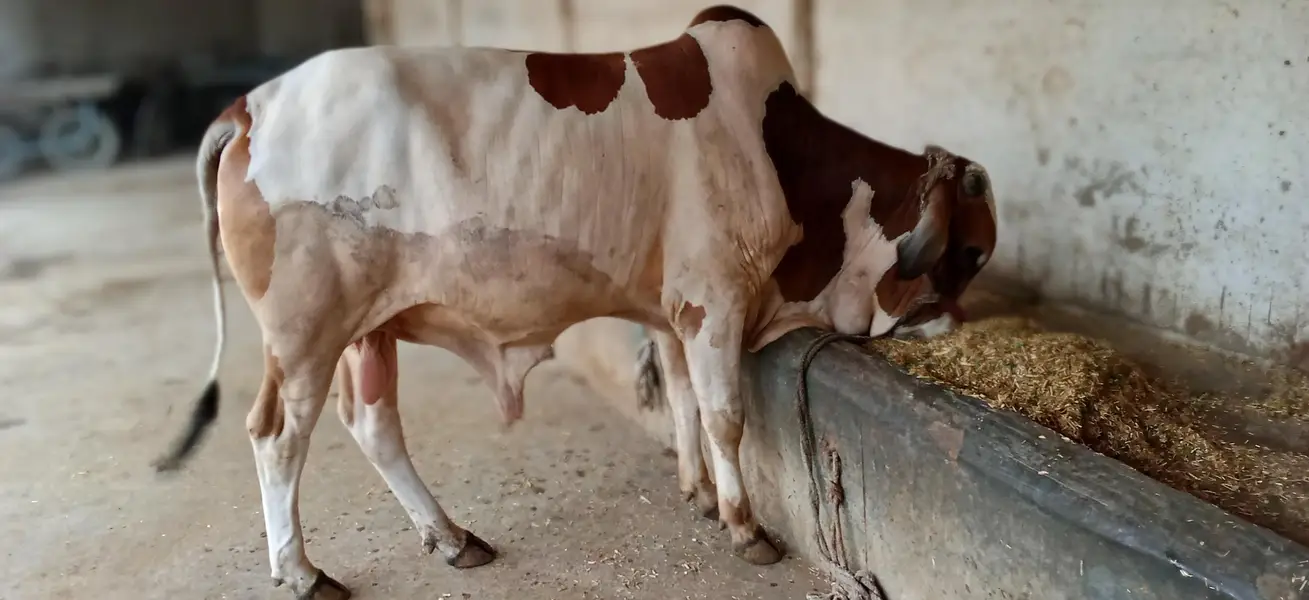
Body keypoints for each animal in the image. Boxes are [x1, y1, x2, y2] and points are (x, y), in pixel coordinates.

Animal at [152, 5, 997, 599]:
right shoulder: (714, 301)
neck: (784, 157)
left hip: (369, 326)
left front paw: (695, 493)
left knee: (372, 424)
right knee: (276, 437)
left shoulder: (670, 312)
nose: (960, 321)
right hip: (305, 331)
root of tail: (249, 105)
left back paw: (452, 538)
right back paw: (302, 573)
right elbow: (724, 416)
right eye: (970, 252)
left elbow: (682, 399)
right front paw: (743, 524)